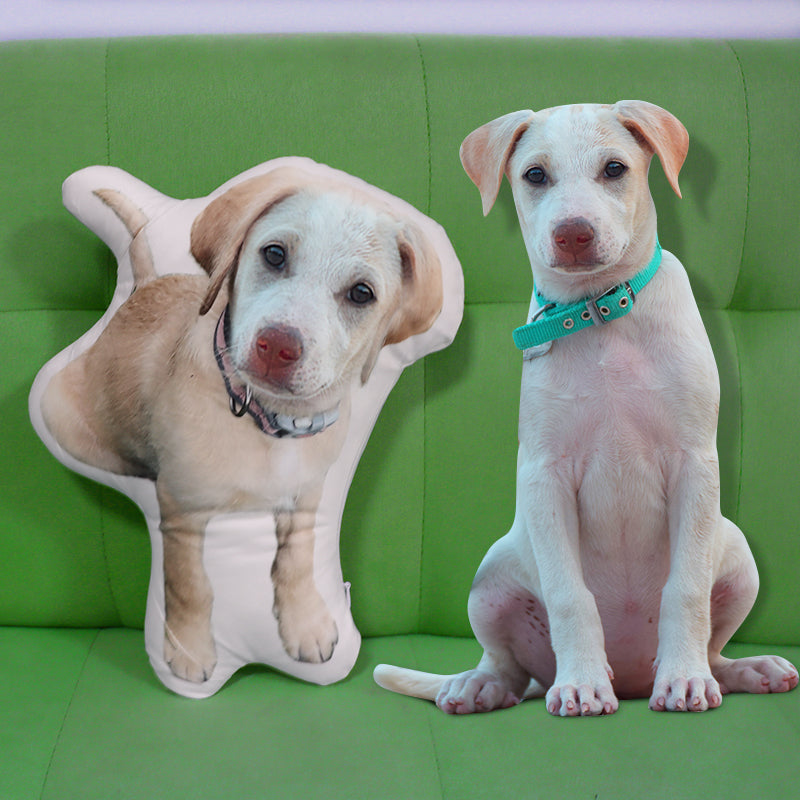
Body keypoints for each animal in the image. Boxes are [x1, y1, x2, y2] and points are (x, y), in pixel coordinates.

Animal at [376, 101, 800, 720]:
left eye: (615, 168)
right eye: (534, 175)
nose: (573, 233)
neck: (601, 315)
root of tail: (632, 677)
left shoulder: (695, 463)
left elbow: (687, 588)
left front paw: (684, 680)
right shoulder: (545, 474)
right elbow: (569, 596)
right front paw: (580, 685)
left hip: (739, 555)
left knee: (714, 643)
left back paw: (742, 669)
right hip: (491, 577)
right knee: (509, 666)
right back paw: (480, 686)